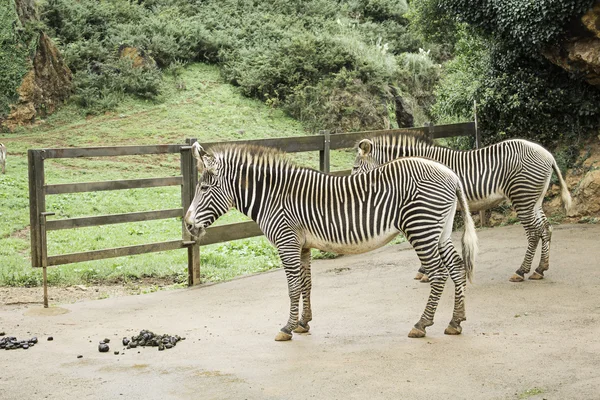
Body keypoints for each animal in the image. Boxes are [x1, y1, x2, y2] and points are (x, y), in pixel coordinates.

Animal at [184, 142, 478, 342]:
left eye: (205, 189)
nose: (187, 225)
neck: (274, 196)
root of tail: (451, 175)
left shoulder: (287, 242)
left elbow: (292, 287)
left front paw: (287, 328)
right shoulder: (302, 245)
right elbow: (306, 284)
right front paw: (303, 323)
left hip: (421, 228)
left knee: (438, 273)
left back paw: (421, 324)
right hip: (439, 230)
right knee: (456, 266)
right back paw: (456, 321)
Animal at [352, 133, 572, 282]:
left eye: (354, 168)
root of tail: (548, 154)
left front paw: (426, 272)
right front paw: (427, 271)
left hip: (523, 198)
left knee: (534, 232)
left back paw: (521, 271)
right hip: (534, 200)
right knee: (546, 228)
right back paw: (540, 269)